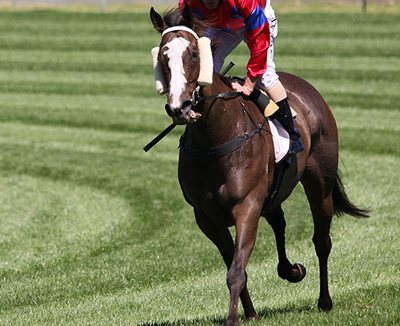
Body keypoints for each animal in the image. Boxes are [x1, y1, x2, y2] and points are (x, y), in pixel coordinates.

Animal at [150, 5, 368, 326]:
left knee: (322, 240)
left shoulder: (247, 205)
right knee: (279, 221)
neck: (215, 139)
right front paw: (249, 313)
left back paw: (324, 300)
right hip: (273, 190)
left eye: (193, 54)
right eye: (163, 57)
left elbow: (236, 271)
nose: (180, 107)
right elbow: (233, 264)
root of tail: (307, 88)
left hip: (320, 183)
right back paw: (291, 270)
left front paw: (233, 320)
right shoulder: (206, 217)